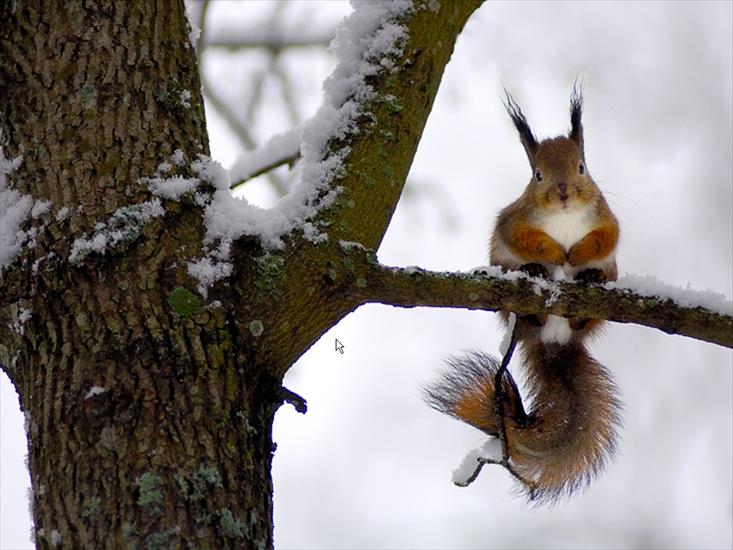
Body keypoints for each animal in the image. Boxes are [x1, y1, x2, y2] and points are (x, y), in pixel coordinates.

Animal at [424, 87, 624, 504]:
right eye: (537, 175)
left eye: (581, 167)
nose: (563, 194)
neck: (563, 218)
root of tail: (554, 340)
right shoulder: (514, 221)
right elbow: (523, 237)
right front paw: (552, 253)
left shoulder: (606, 217)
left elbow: (607, 237)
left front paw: (577, 255)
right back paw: (534, 276)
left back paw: (590, 281)